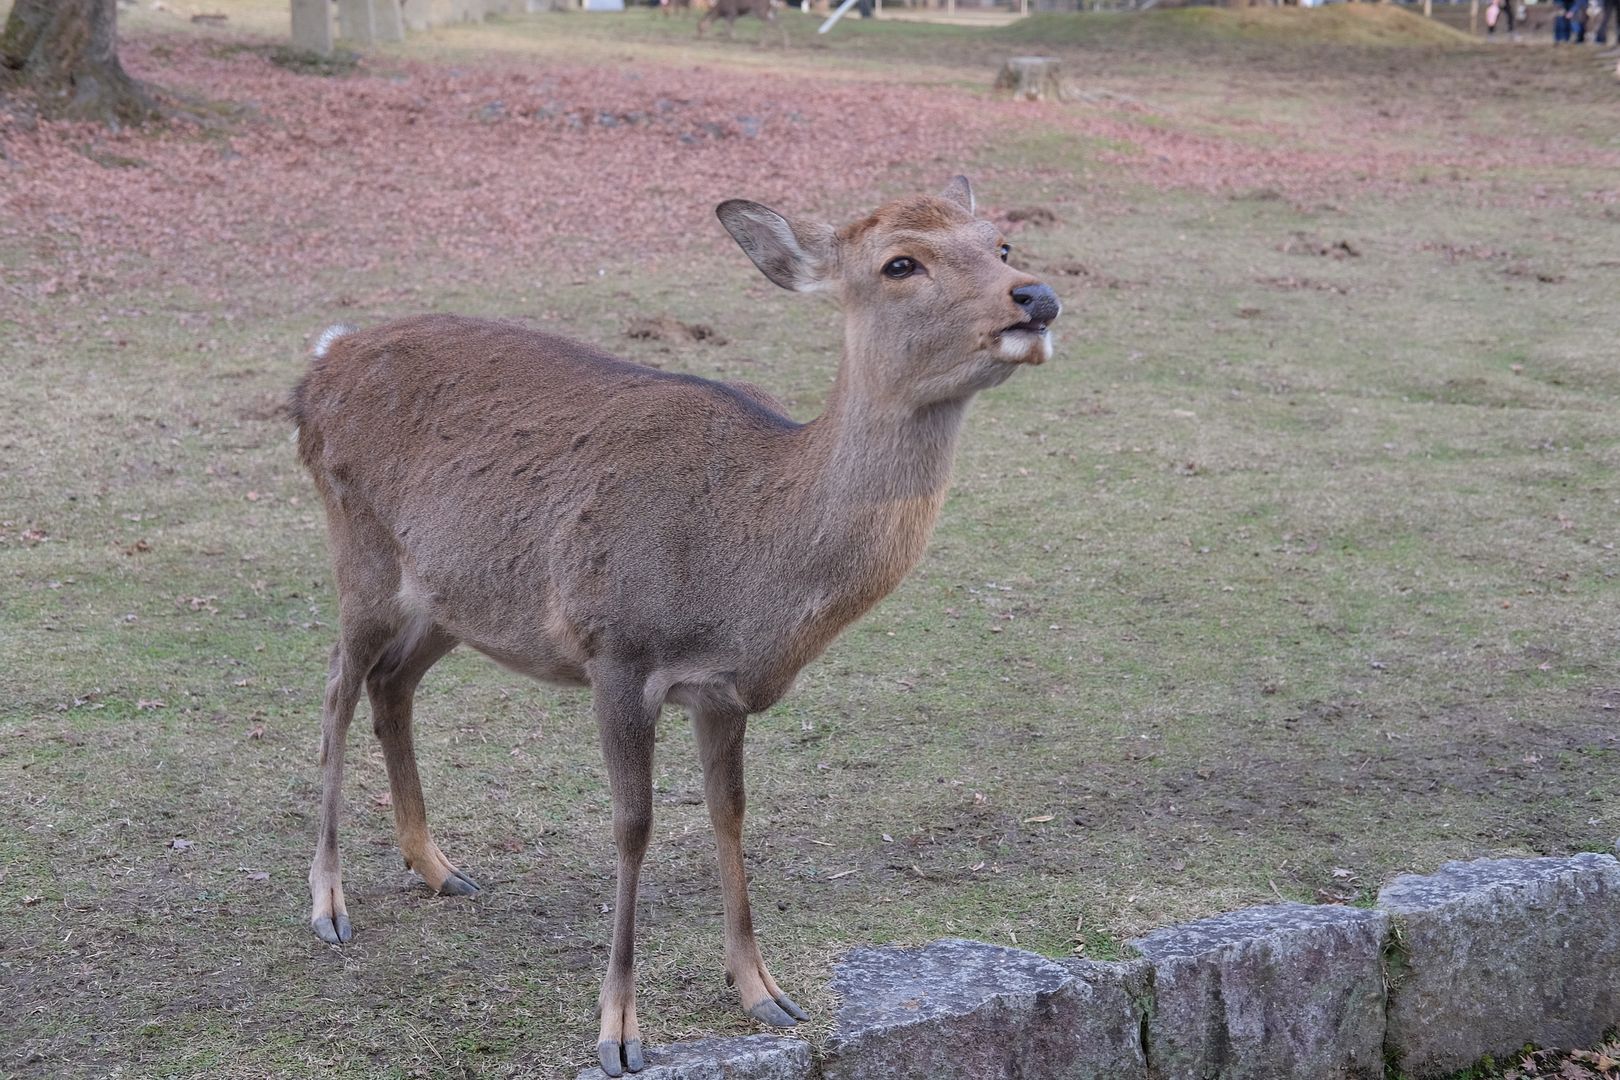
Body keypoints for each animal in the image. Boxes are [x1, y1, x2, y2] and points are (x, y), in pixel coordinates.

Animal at [288, 177, 1062, 1075]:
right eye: (900, 262)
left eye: (1000, 243)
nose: (1037, 296)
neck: (747, 571)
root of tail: (320, 362)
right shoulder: (617, 650)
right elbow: (635, 826)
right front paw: (620, 1031)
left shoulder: (722, 690)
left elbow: (731, 813)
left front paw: (762, 989)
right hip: (361, 547)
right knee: (336, 689)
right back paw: (329, 903)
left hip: (457, 595)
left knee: (392, 682)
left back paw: (439, 867)